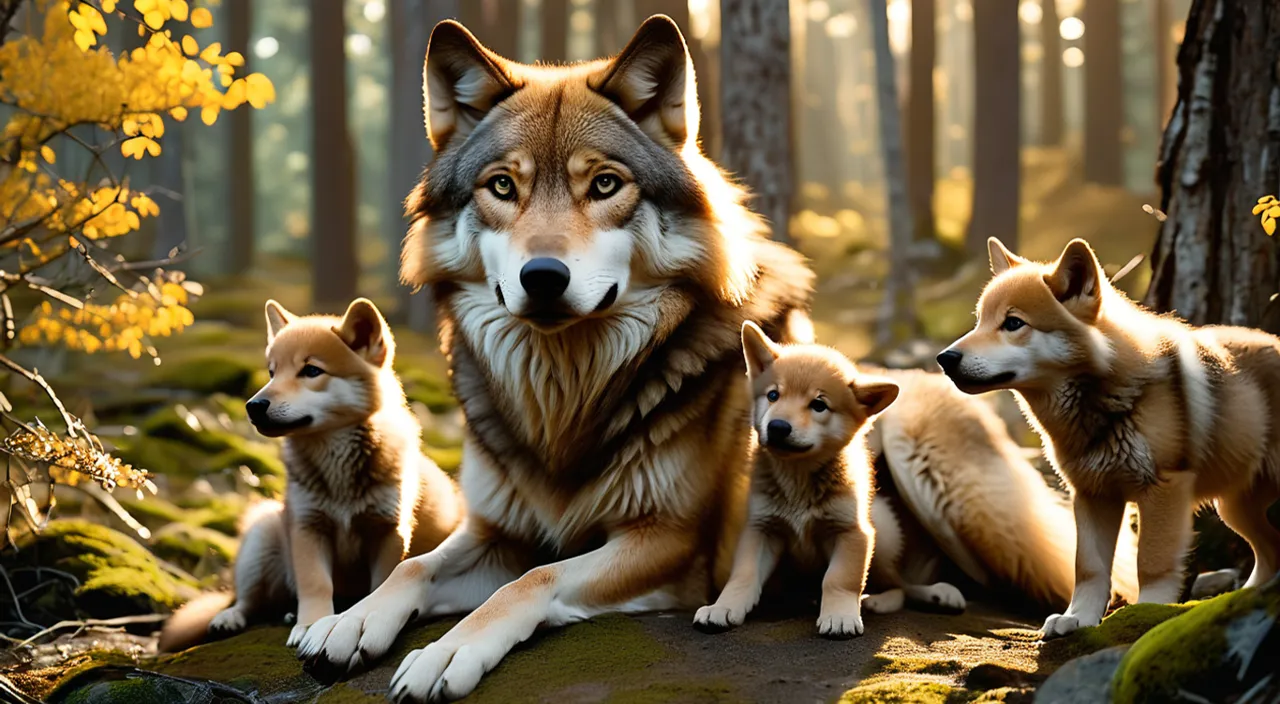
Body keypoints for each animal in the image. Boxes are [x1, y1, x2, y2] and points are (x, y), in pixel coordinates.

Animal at [293, 13, 808, 701]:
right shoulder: (496, 531)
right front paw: (350, 622)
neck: (563, 394)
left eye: (605, 184)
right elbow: (412, 569)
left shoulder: (667, 542)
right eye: (503, 186)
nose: (542, 277)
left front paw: (445, 653)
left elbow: (534, 578)